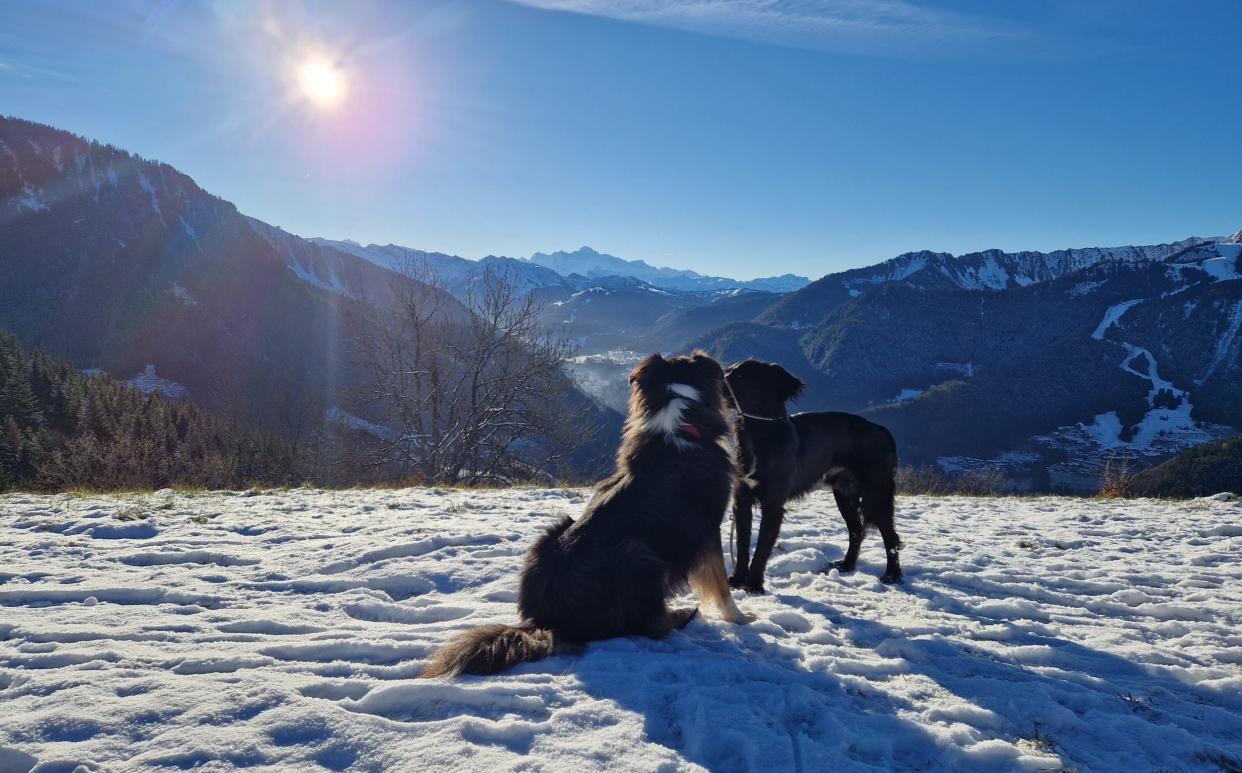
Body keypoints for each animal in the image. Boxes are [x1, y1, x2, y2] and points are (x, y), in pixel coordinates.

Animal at [422, 350, 745, 676]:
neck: (679, 424)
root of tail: (548, 623)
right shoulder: (708, 527)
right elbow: (721, 583)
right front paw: (741, 618)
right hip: (638, 554)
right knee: (642, 625)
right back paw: (681, 615)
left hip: (553, 533)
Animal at [720, 357, 904, 594]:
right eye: (728, 371)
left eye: (741, 376)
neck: (759, 433)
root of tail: (881, 430)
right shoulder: (742, 501)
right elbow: (742, 545)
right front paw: (736, 579)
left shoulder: (773, 505)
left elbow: (761, 547)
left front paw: (753, 584)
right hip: (843, 493)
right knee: (856, 530)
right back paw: (847, 564)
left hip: (876, 493)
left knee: (891, 537)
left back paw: (892, 575)